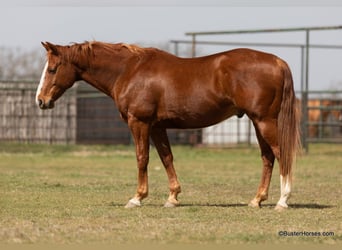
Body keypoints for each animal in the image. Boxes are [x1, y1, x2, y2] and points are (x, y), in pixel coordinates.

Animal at [36, 41, 300, 209]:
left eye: (52, 69)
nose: (41, 100)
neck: (129, 70)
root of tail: (277, 62)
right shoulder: (157, 127)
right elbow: (166, 158)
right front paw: (173, 197)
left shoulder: (139, 123)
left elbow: (142, 158)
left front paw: (137, 198)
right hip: (258, 123)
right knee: (267, 157)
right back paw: (257, 200)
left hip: (264, 121)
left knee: (281, 154)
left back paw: (282, 200)